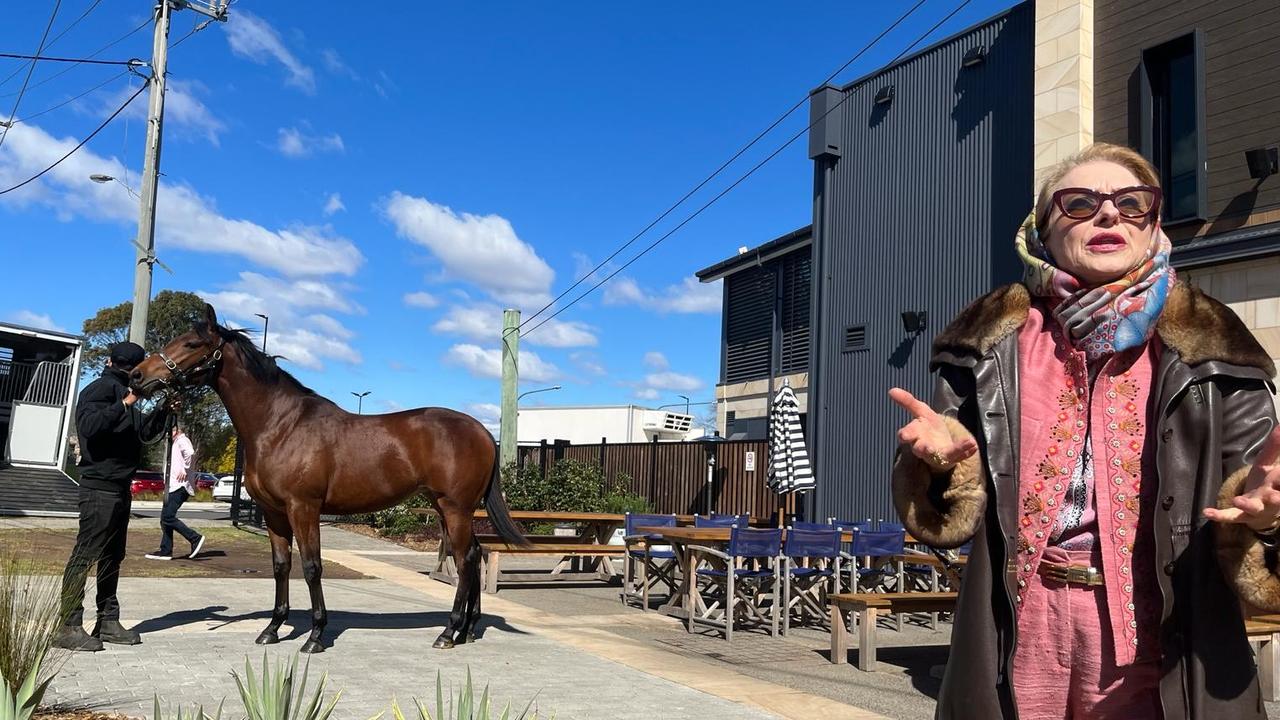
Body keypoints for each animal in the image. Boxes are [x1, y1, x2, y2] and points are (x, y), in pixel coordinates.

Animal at [129, 302, 524, 650]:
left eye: (191, 344)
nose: (137, 376)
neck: (280, 425)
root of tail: (482, 431)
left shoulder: (303, 508)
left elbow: (311, 566)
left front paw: (316, 636)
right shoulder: (274, 513)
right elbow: (281, 566)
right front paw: (272, 629)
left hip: (455, 508)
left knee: (465, 561)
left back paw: (448, 632)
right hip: (445, 508)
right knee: (472, 554)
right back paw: (466, 630)